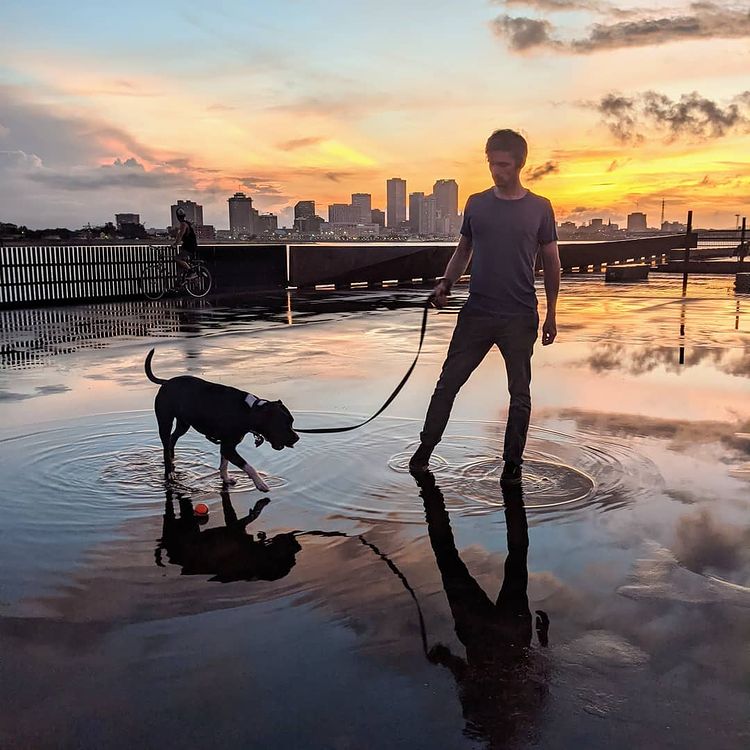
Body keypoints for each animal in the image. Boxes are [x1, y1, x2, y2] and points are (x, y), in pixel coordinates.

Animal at [145, 350, 302, 490]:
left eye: (292, 422)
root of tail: (166, 382)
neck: (250, 412)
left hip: (184, 424)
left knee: (173, 439)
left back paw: (172, 458)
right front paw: (260, 483)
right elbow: (248, 466)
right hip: (165, 422)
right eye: (283, 424)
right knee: (166, 443)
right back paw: (169, 472)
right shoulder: (228, 447)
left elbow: (224, 464)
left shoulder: (227, 446)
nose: (297, 438)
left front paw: (225, 478)